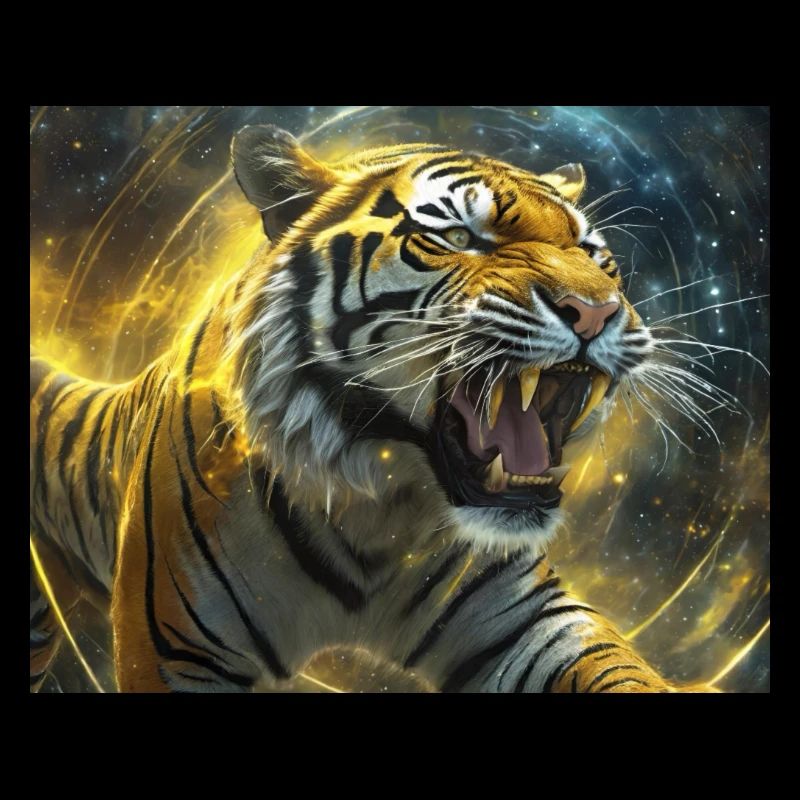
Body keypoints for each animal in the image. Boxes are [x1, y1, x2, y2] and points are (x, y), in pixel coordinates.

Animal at [30, 124, 719, 693]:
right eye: (458, 237)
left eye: (597, 257)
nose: (597, 311)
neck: (380, 504)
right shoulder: (176, 648)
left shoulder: (521, 615)